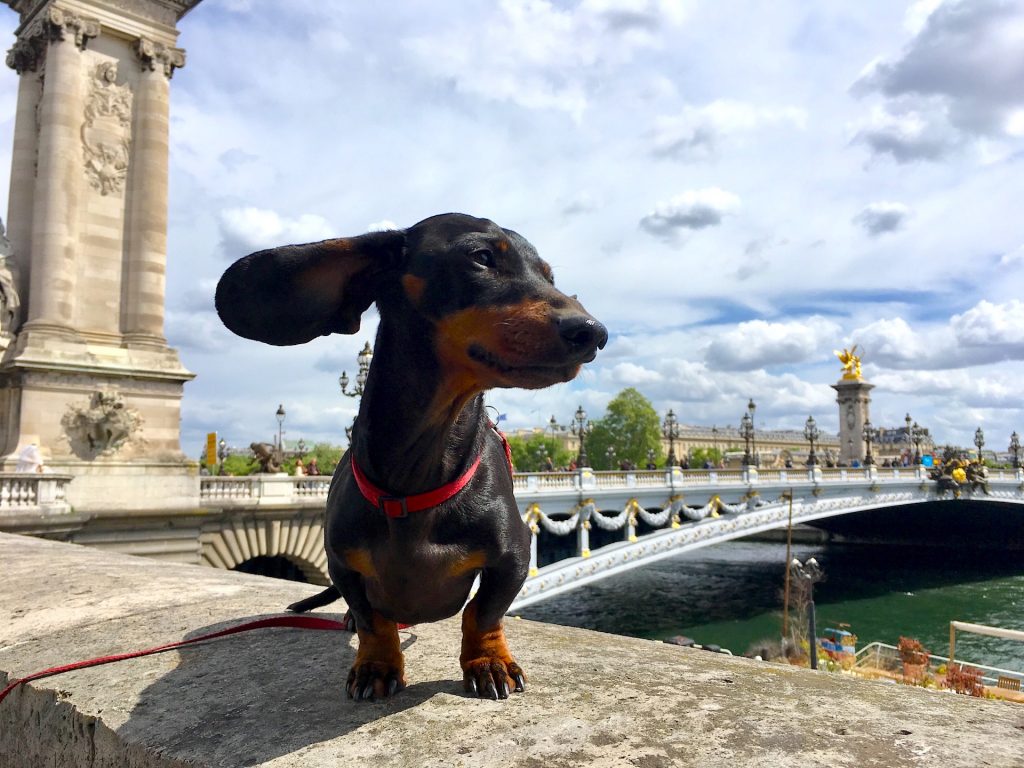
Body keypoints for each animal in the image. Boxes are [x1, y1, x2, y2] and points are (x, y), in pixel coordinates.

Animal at [211, 214, 602, 700]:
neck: (417, 477)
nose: (594, 333)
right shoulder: (341, 564)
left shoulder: (515, 556)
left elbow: (483, 613)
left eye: (549, 276)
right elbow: (373, 620)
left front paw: (489, 661)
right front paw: (376, 665)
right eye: (482, 257)